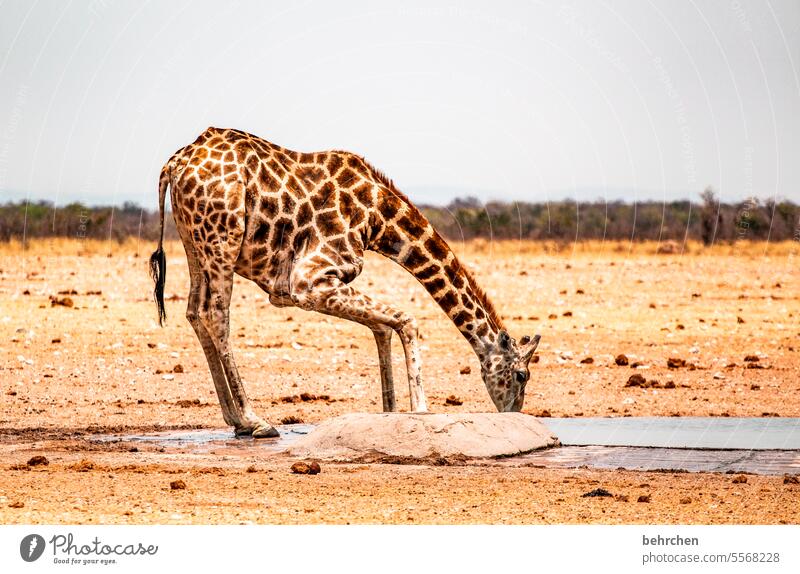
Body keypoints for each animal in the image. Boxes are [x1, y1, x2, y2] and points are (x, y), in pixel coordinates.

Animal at [150, 128, 540, 438]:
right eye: (522, 375)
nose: (513, 415)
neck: (378, 220)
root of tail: (176, 162)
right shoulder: (310, 281)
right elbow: (406, 320)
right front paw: (421, 410)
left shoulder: (312, 287)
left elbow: (383, 327)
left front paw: (389, 412)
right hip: (223, 240)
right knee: (216, 315)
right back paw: (254, 420)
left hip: (193, 241)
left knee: (194, 312)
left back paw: (234, 419)